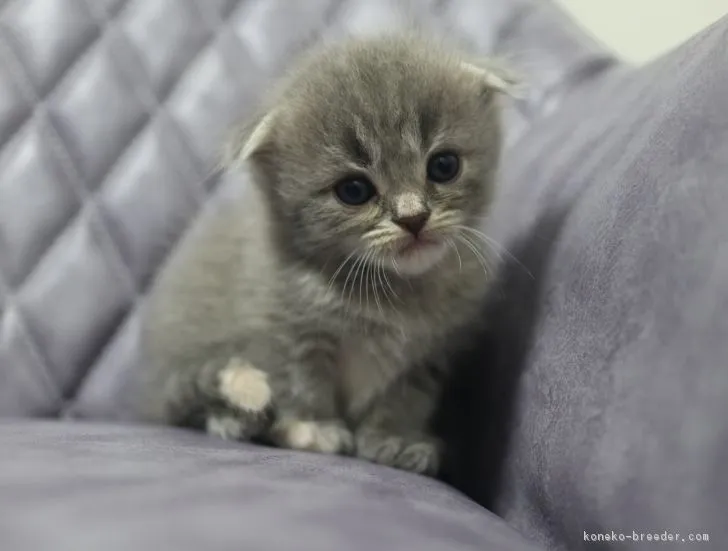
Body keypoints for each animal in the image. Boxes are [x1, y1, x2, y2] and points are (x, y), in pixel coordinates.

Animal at [141, 34, 506, 476]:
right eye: (353, 190)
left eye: (444, 165)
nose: (413, 218)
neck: (394, 294)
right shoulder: (283, 328)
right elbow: (302, 380)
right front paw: (311, 427)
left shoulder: (433, 353)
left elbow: (406, 399)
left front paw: (394, 439)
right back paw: (235, 420)